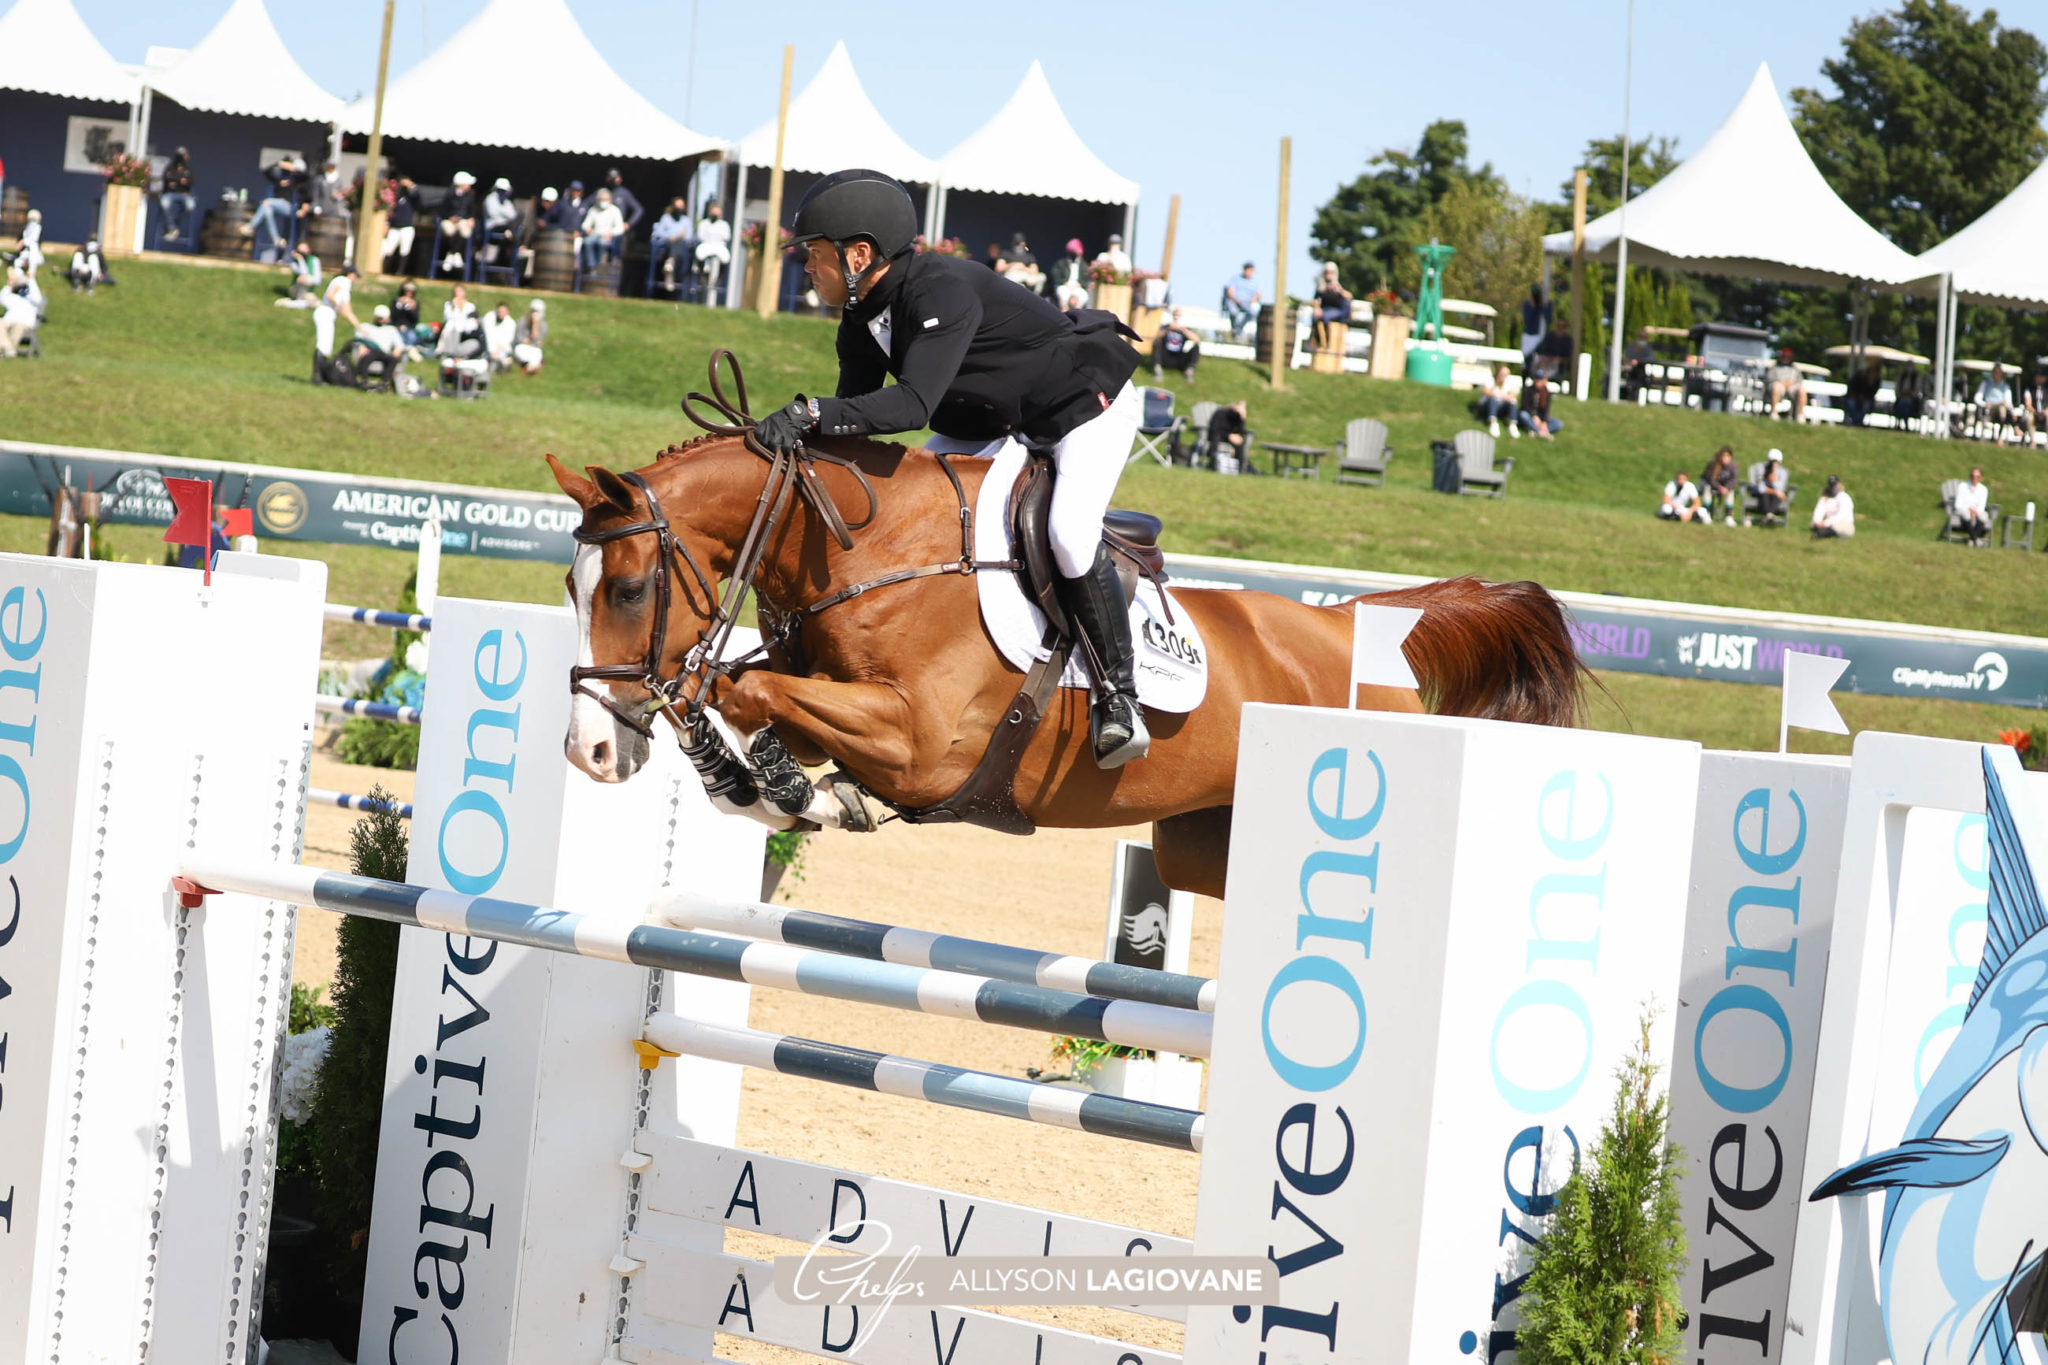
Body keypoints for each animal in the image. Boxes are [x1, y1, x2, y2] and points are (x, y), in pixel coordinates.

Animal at [552, 435, 1589, 896]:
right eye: (570, 585)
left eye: (631, 589)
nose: (588, 752)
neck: (864, 546)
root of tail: (1359, 628)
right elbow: (760, 698)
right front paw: (763, 781)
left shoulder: (923, 743)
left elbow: (752, 686)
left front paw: (778, 784)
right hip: (1204, 846)